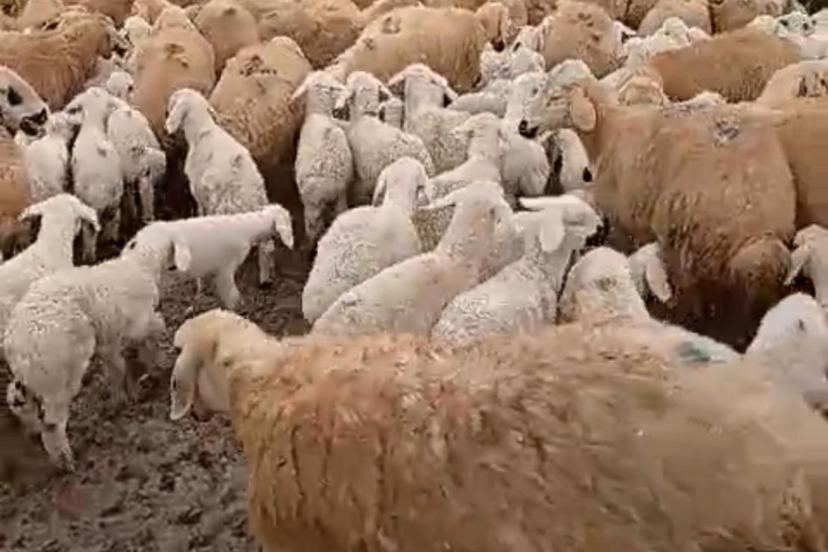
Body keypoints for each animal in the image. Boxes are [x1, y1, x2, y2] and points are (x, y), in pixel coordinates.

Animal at [4, 223, 172, 471]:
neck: (140, 266)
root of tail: (14, 342)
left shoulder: (109, 338)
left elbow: (117, 368)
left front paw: (126, 397)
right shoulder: (138, 323)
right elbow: (157, 328)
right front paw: (160, 366)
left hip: (37, 376)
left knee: (20, 401)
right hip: (58, 376)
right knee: (52, 424)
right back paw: (65, 461)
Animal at [519, 73, 797, 348]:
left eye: (555, 97)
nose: (522, 125)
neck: (609, 132)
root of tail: (761, 234)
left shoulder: (626, 220)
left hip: (691, 243)